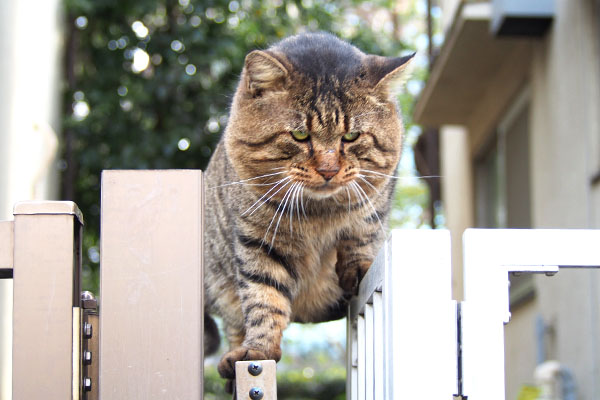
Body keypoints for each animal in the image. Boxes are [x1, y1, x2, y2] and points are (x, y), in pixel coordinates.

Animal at [205, 32, 412, 390]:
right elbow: (264, 298)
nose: (329, 170)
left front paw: (357, 267)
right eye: (300, 134)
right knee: (235, 322)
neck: (318, 213)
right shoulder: (257, 240)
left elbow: (361, 236)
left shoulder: (374, 202)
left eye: (351, 136)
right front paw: (259, 349)